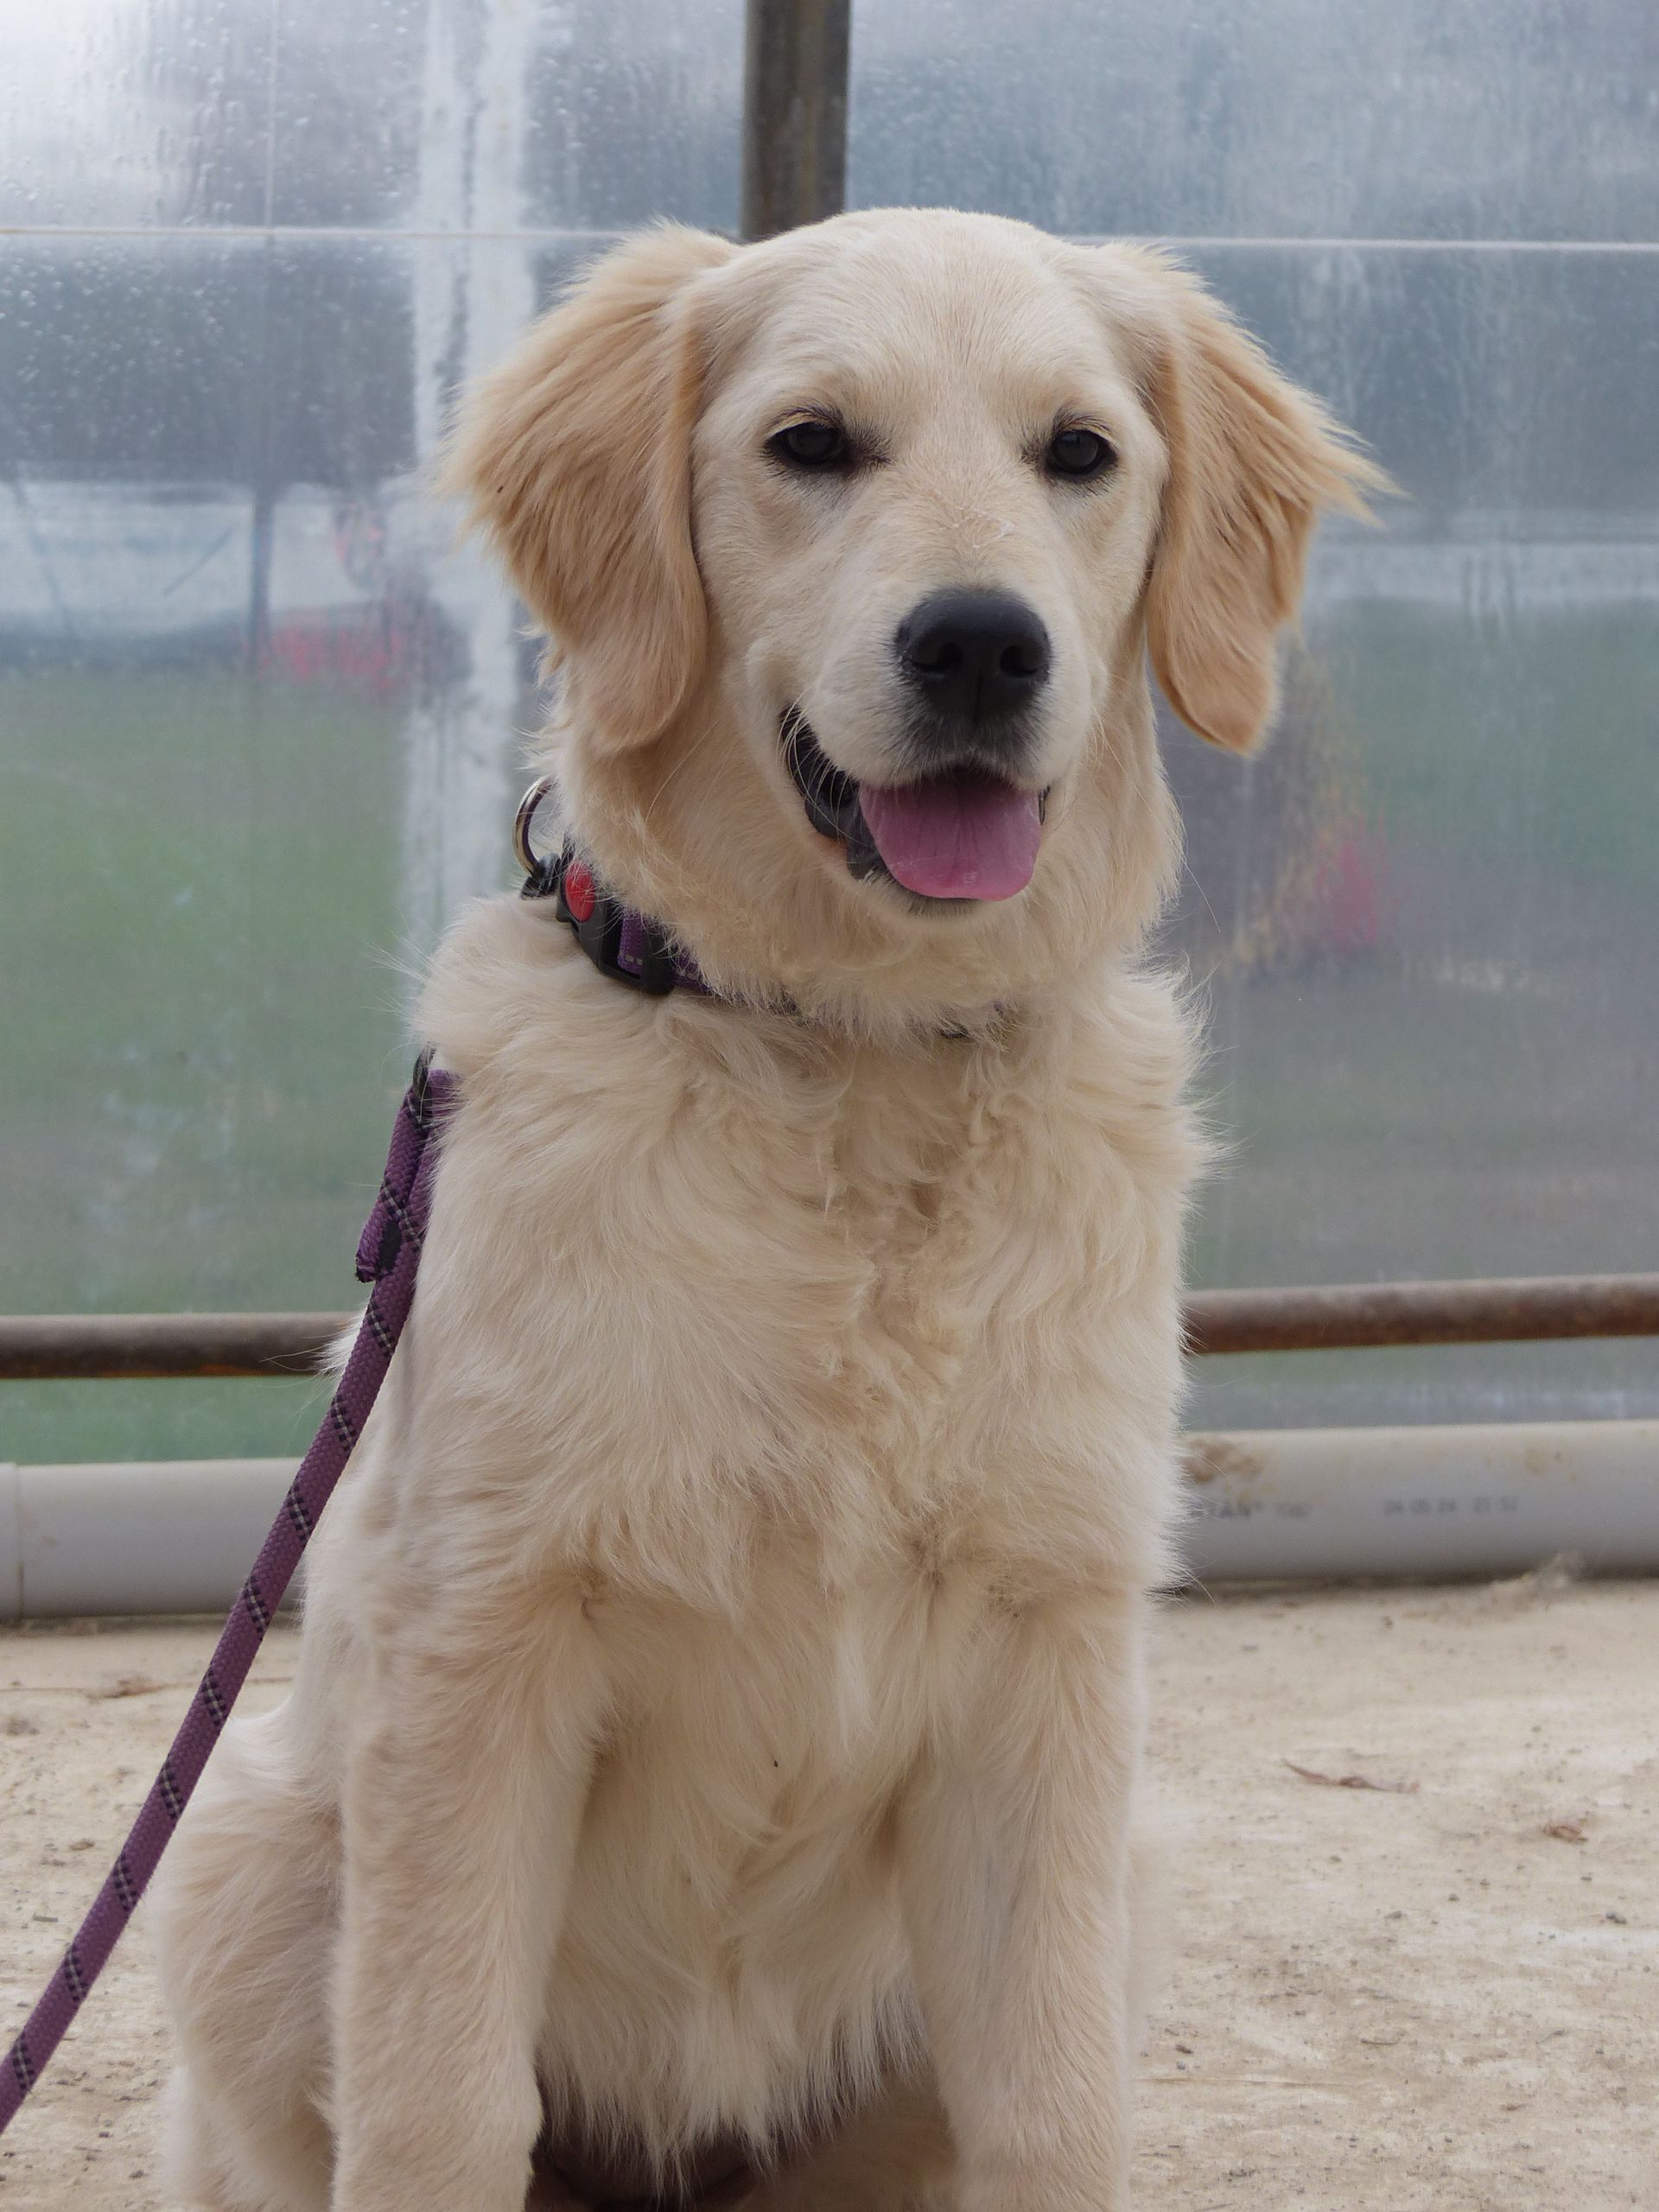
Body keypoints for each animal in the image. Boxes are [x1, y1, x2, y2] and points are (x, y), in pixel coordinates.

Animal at [151, 208, 1375, 2211]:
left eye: (1080, 452)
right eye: (812, 443)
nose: (981, 643)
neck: (849, 1056)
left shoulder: (1050, 1660)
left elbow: (1053, 2110)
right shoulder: (479, 1643)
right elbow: (437, 2100)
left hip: (1120, 1877)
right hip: (241, 1851)